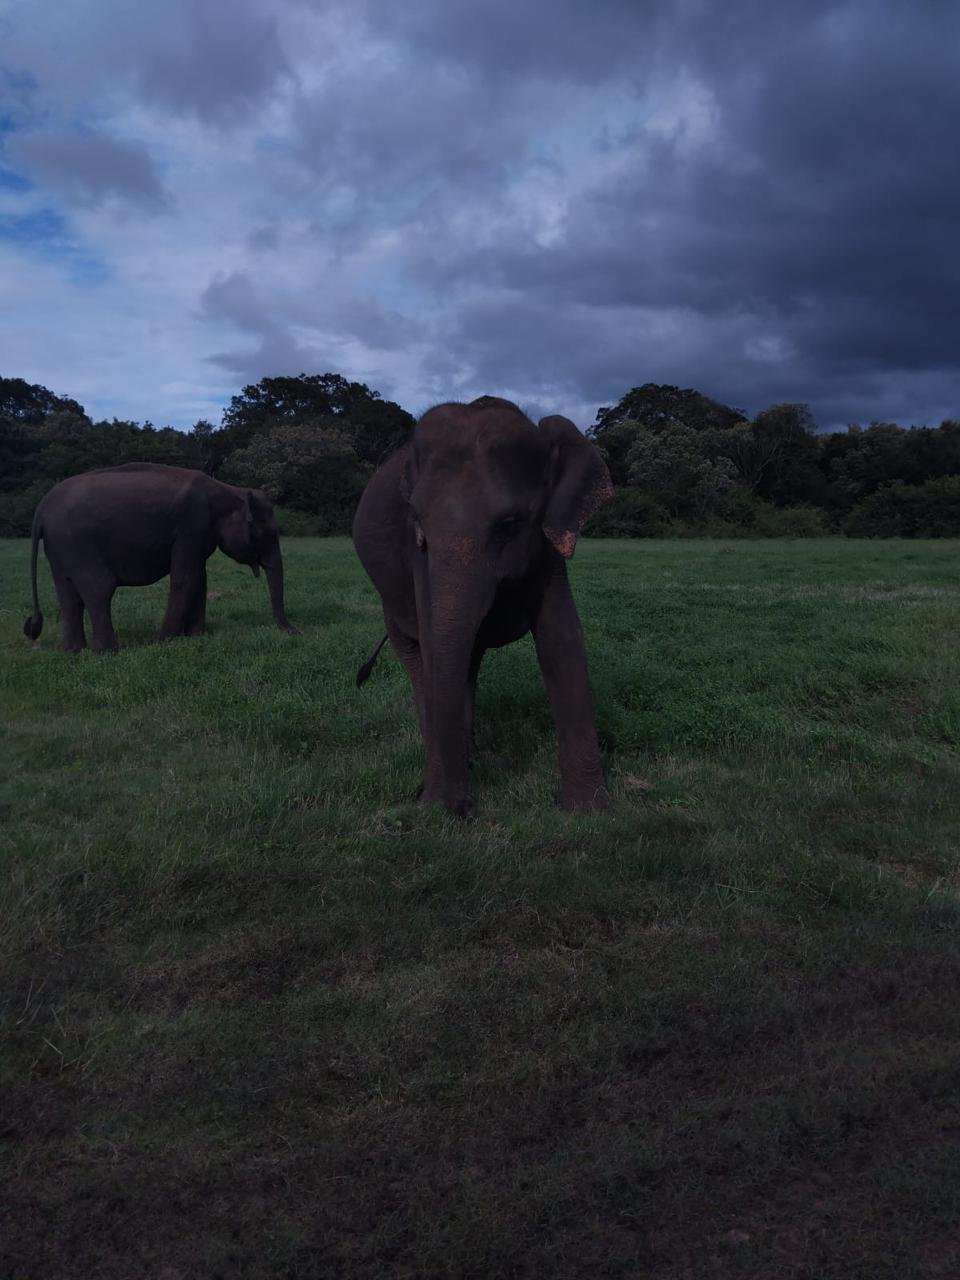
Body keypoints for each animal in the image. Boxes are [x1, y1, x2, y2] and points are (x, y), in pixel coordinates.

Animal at [23, 462, 294, 652]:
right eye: (269, 534)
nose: (294, 632)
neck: (227, 489)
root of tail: (40, 510)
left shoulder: (199, 535)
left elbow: (200, 578)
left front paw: (196, 637)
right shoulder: (191, 526)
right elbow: (185, 579)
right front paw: (165, 642)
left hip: (60, 548)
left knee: (68, 594)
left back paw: (74, 652)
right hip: (77, 544)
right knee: (98, 589)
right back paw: (108, 652)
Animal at [353, 395, 614, 817]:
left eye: (509, 524)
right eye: (418, 521)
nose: (465, 810)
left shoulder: (546, 541)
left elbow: (561, 640)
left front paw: (588, 811)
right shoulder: (416, 556)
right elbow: (432, 642)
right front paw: (433, 802)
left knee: (467, 663)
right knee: (419, 660)